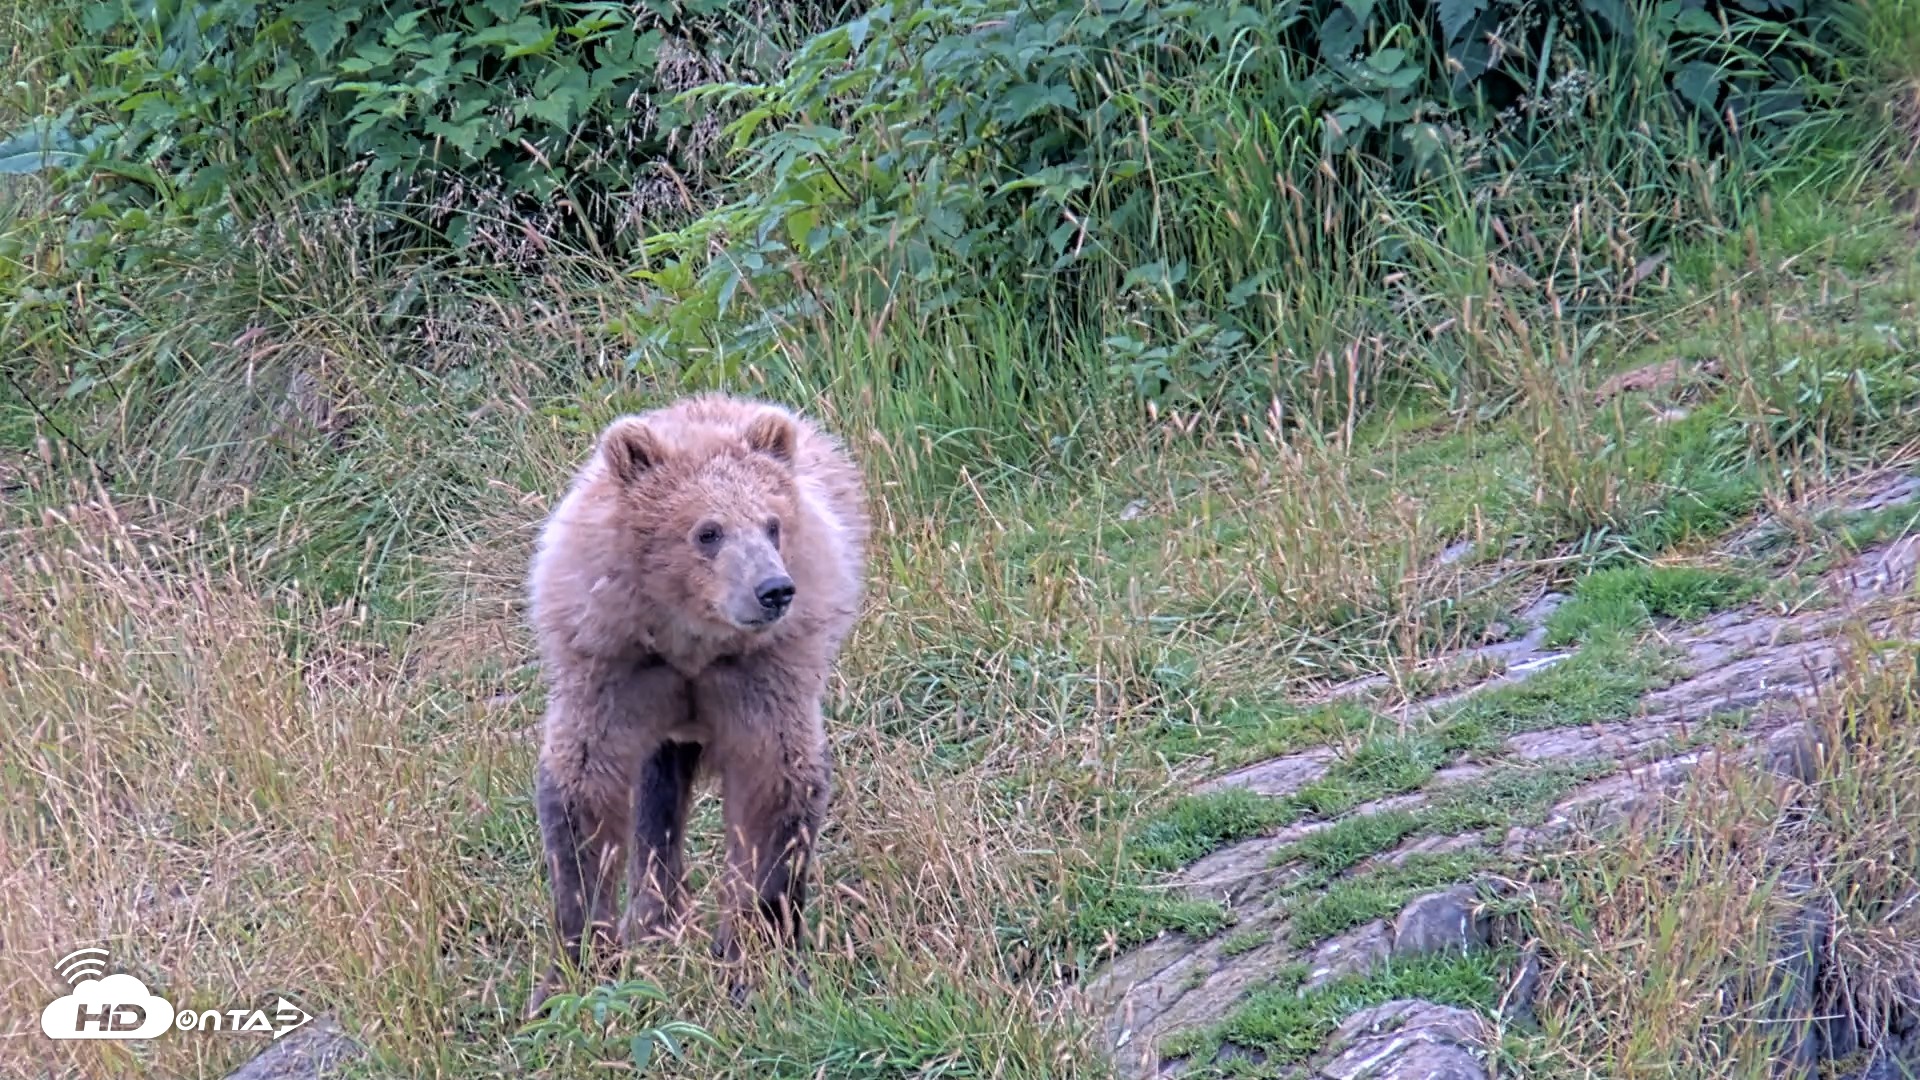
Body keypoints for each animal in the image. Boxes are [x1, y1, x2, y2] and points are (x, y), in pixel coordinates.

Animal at [524, 393, 870, 1011]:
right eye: (708, 531)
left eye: (772, 524)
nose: (774, 589)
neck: (689, 638)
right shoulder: (613, 670)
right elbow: (582, 798)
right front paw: (575, 967)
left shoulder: (761, 676)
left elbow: (776, 791)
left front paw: (755, 960)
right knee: (657, 793)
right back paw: (655, 916)